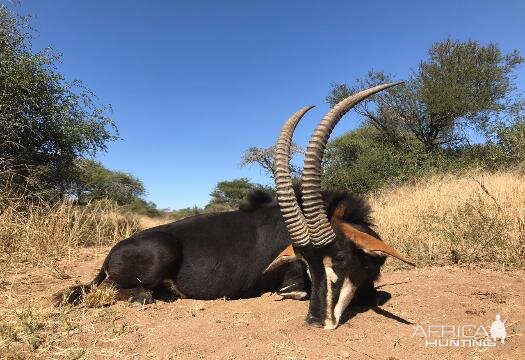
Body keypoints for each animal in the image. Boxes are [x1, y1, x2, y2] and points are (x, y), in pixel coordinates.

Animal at [54, 82, 414, 330]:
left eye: (338, 256)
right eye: (305, 263)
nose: (315, 323)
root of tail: (111, 254)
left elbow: (375, 292)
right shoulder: (291, 285)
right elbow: (299, 292)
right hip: (157, 256)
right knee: (117, 292)